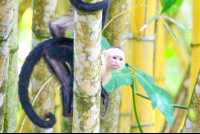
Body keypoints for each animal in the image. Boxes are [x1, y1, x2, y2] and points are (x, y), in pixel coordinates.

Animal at [18, 0, 125, 129]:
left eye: (120, 59)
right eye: (114, 57)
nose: (117, 62)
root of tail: (48, 43)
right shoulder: (102, 65)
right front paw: (104, 95)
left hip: (51, 55)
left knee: (65, 79)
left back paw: (66, 111)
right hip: (57, 50)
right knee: (72, 64)